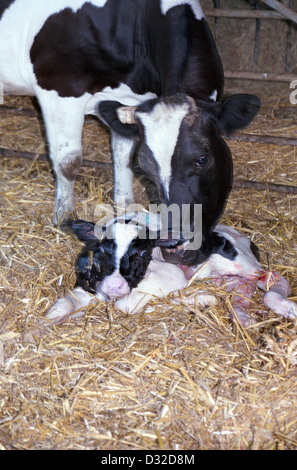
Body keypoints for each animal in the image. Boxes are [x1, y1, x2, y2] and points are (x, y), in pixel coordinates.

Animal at [0, 0, 260, 264]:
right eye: (146, 167)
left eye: (202, 159)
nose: (175, 246)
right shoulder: (60, 89)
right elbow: (68, 161)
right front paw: (63, 216)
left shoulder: (127, 102)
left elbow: (122, 156)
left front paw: (126, 208)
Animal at [22, 214, 296, 342]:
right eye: (101, 249)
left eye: (142, 252)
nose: (113, 286)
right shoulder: (87, 286)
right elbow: (61, 306)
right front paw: (33, 332)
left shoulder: (171, 276)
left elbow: (129, 305)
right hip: (236, 284)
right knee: (239, 301)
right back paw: (243, 317)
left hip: (244, 265)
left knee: (272, 280)